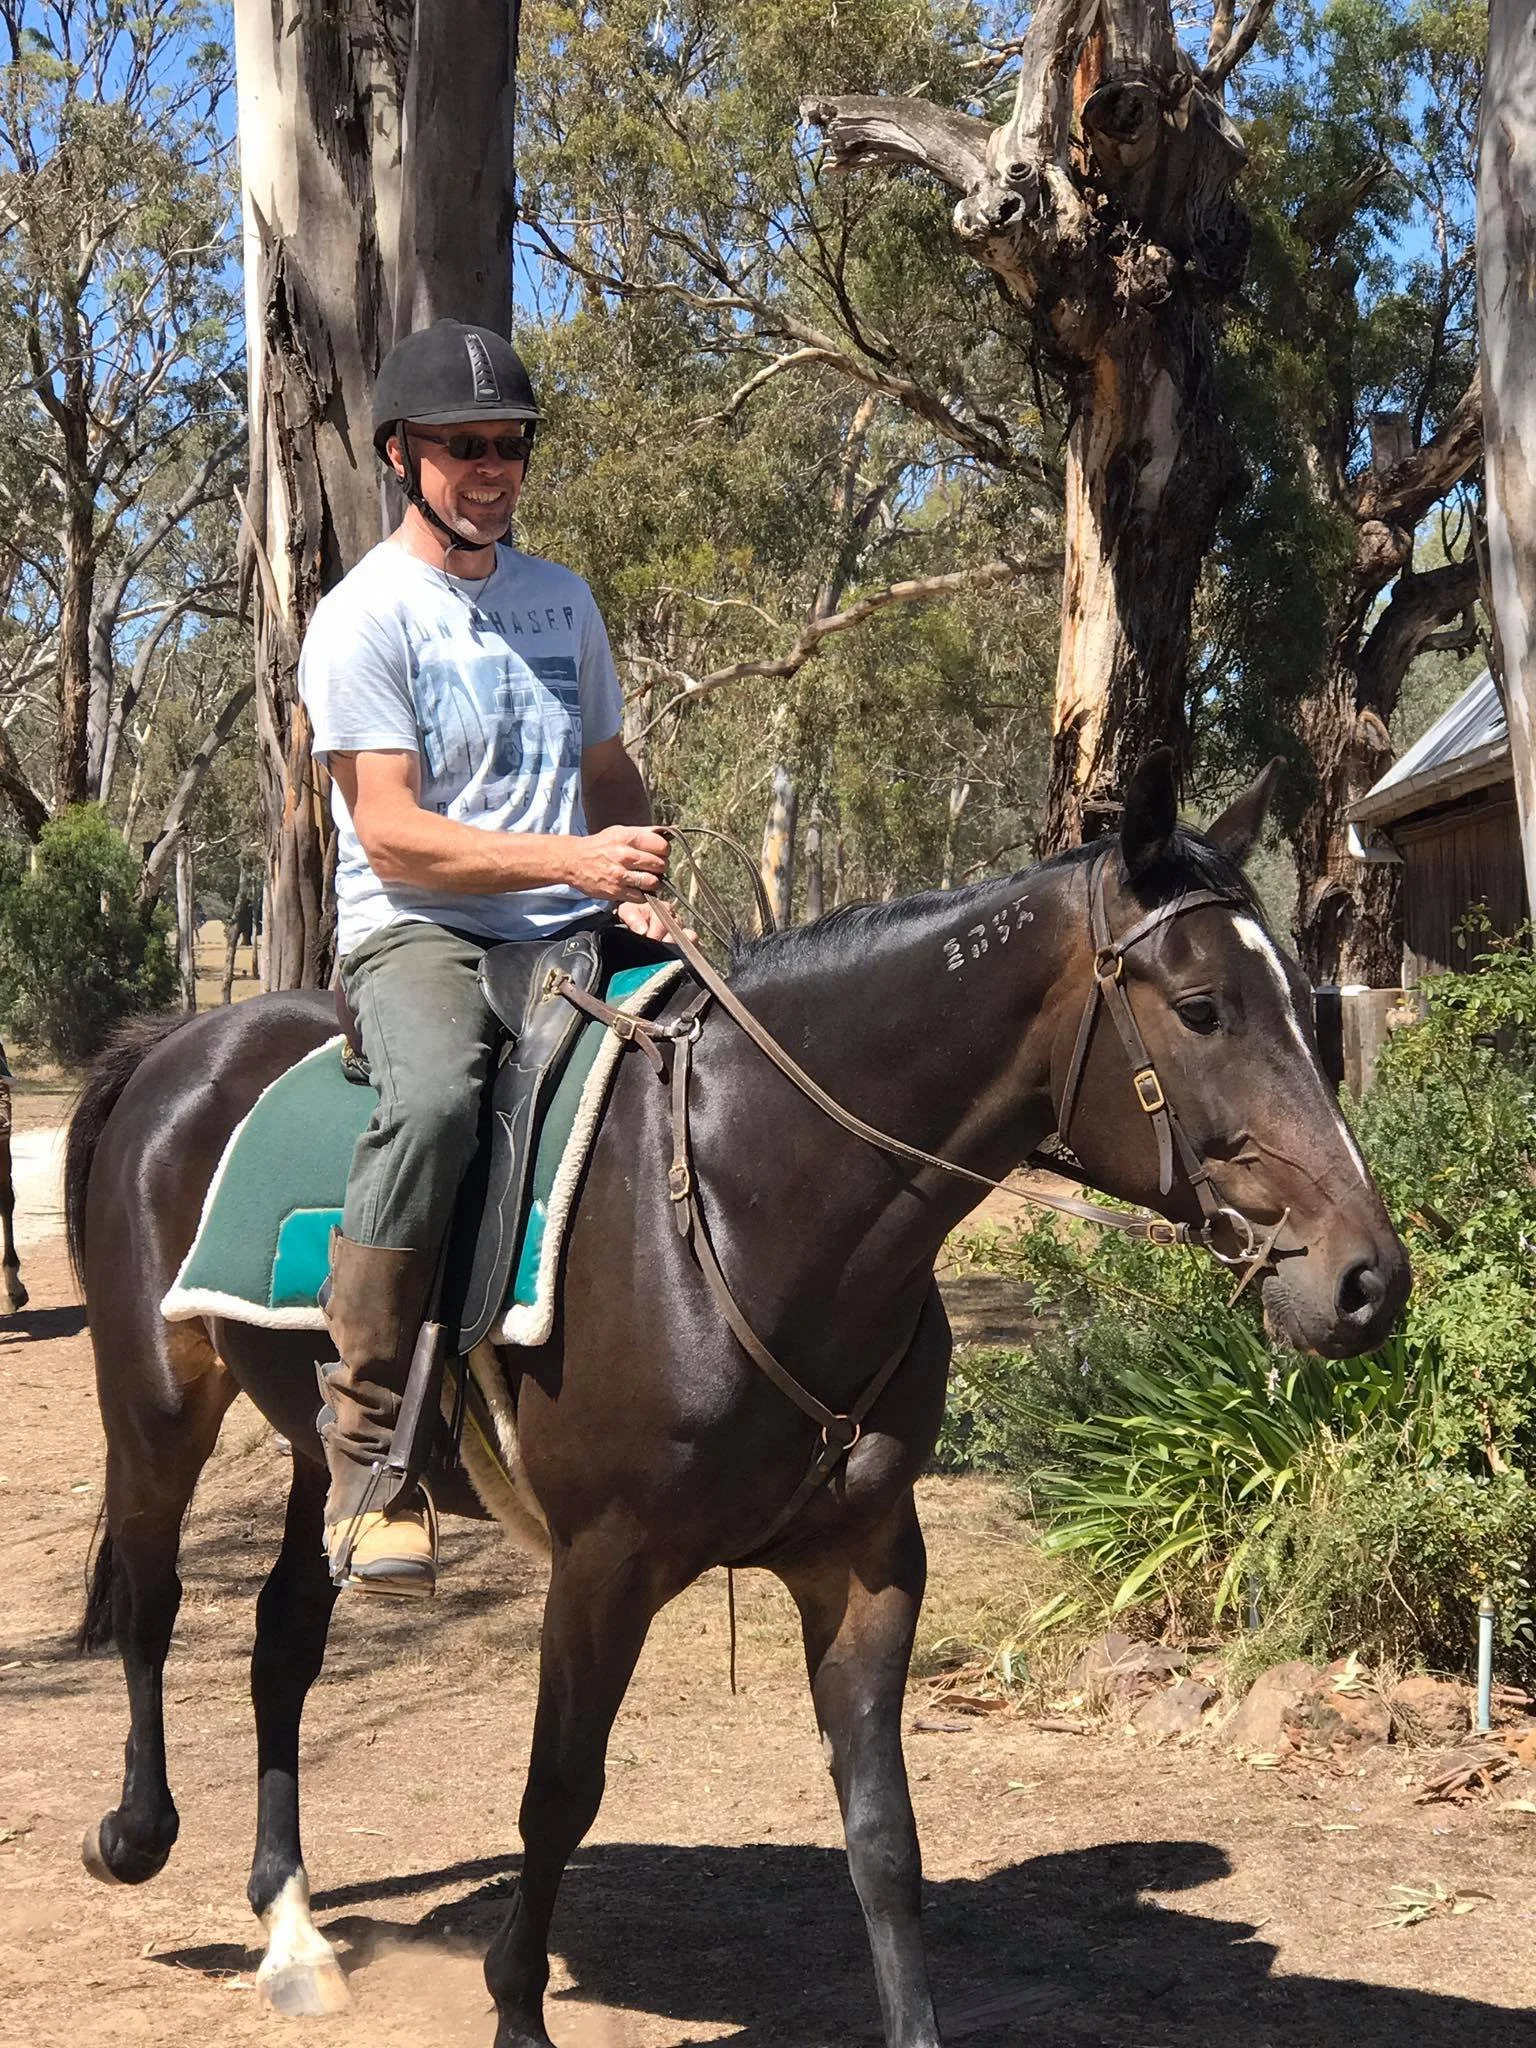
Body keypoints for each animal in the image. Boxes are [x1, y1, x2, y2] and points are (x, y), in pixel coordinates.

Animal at [66, 752, 1408, 2048]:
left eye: (1307, 1000)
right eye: (1202, 1007)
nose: (1368, 1279)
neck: (745, 1192)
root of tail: (178, 1048)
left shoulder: (866, 1560)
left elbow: (883, 1836)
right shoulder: (602, 1564)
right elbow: (560, 1790)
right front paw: (517, 2009)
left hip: (314, 1450)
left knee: (283, 1637)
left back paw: (293, 1928)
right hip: (155, 1405)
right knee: (151, 1602)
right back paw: (136, 1834)